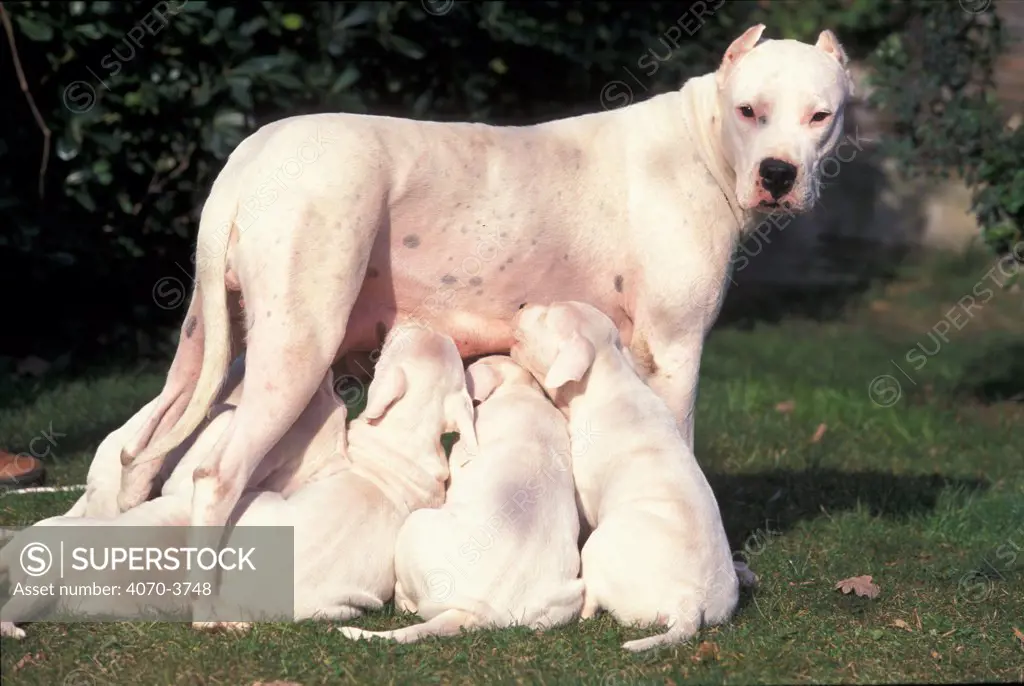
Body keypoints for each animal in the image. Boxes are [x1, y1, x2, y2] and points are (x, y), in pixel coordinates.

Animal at [116, 26, 851, 565]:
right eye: (750, 111)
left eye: (822, 116)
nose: (779, 173)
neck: (704, 142)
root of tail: (252, 154)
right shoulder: (677, 353)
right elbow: (685, 452)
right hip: (295, 348)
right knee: (217, 474)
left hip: (205, 348)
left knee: (141, 444)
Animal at [516, 303, 741, 655]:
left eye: (546, 315)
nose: (522, 305)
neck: (609, 378)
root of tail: (689, 604)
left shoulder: (586, 496)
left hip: (596, 551)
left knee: (592, 600)